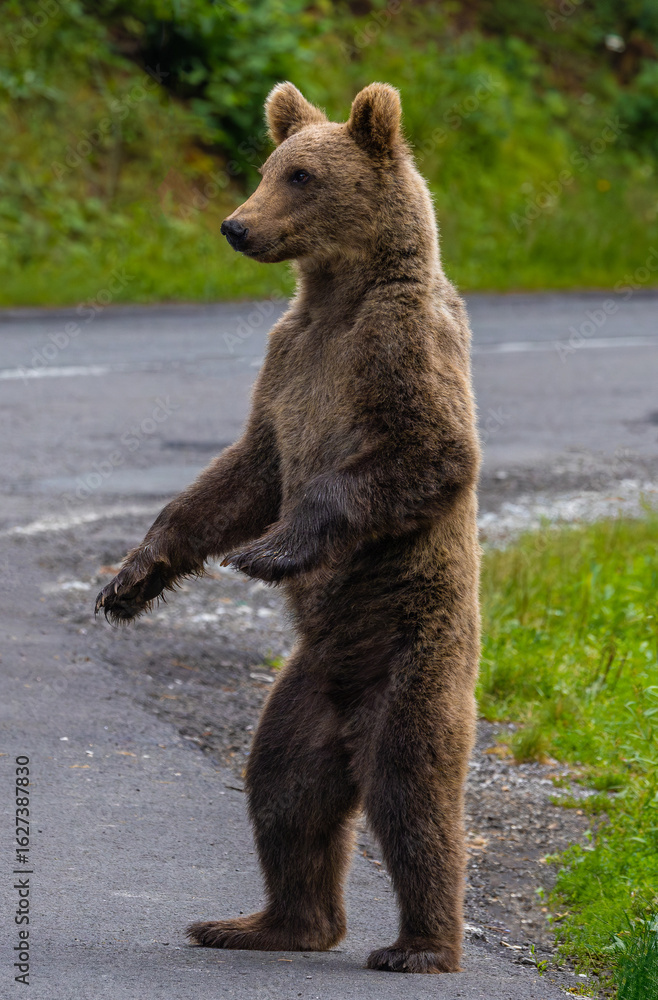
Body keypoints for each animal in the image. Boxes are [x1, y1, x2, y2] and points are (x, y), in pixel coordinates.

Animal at [95, 81, 481, 974]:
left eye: (302, 175)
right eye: (269, 165)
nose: (236, 225)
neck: (338, 297)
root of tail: (348, 713)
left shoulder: (398, 348)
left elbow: (428, 452)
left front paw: (272, 550)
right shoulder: (288, 360)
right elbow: (244, 474)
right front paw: (130, 579)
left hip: (414, 657)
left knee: (411, 793)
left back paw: (419, 945)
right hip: (301, 693)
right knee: (283, 792)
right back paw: (264, 923)